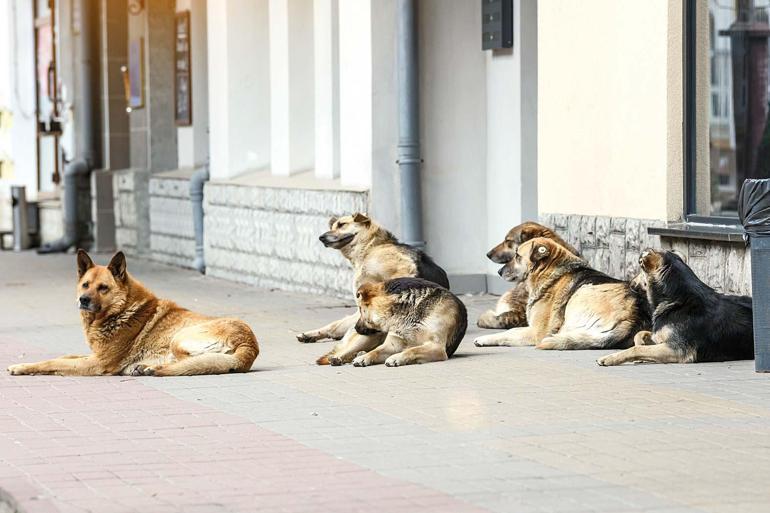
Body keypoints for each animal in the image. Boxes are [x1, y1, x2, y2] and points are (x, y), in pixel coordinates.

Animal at [6, 251, 258, 376]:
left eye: (103, 288)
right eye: (85, 285)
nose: (83, 300)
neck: (122, 310)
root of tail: (249, 345)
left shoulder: (96, 363)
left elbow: (53, 362)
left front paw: (23, 367)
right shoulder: (92, 355)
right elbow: (64, 356)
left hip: (179, 338)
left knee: (190, 362)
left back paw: (149, 368)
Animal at [296, 212, 450, 364]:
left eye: (342, 224)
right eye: (333, 226)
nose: (321, 237)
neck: (372, 247)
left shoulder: (405, 268)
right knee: (336, 330)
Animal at [474, 238, 648, 350]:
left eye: (517, 256)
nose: (499, 271)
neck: (550, 272)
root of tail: (633, 316)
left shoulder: (537, 332)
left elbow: (508, 333)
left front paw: (485, 339)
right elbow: (513, 330)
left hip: (581, 293)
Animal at [592, 250, 752, 366]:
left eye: (641, 270)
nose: (630, 283)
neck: (677, 300)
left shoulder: (677, 349)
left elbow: (636, 348)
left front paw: (610, 358)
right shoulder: (661, 337)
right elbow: (640, 334)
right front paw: (642, 349)